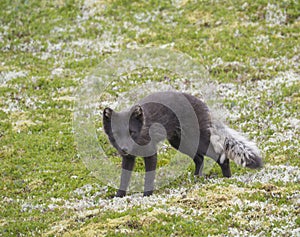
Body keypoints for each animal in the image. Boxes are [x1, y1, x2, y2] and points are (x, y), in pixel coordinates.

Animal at [103, 90, 262, 196]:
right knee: (199, 159)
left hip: (197, 141)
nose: (124, 149)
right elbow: (124, 178)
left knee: (221, 155)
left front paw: (147, 194)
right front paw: (119, 196)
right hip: (180, 143)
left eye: (132, 132)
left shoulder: (151, 153)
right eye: (116, 134)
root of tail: (202, 104)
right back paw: (197, 178)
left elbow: (149, 177)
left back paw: (227, 179)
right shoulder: (128, 158)